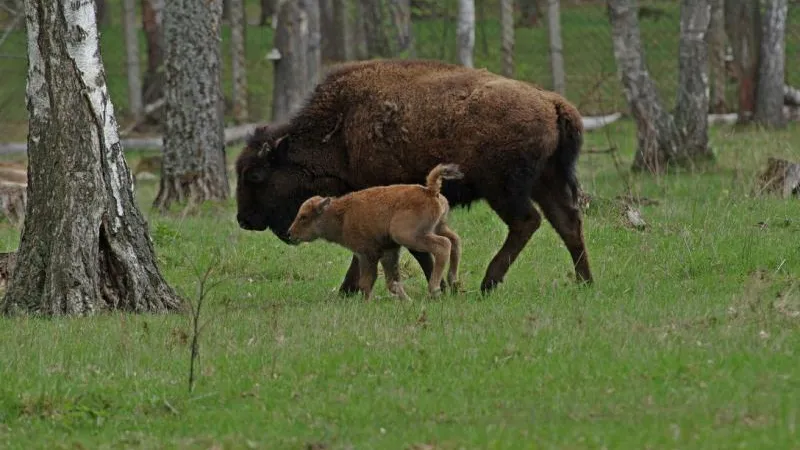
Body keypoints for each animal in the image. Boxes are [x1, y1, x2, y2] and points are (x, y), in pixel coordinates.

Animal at [286, 163, 462, 300]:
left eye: (304, 216)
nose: (289, 234)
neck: (342, 215)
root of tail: (430, 190)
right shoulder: (388, 252)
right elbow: (392, 282)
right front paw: (407, 301)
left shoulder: (367, 254)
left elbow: (366, 282)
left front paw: (368, 302)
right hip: (439, 227)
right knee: (455, 241)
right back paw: (453, 282)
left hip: (410, 236)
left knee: (443, 246)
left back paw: (435, 289)